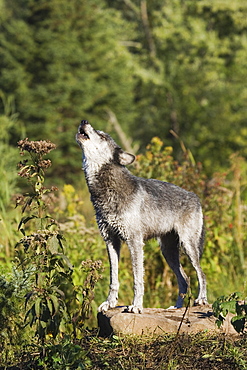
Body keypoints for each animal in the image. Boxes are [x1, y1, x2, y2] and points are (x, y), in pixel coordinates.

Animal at [76, 120, 207, 312]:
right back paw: (175, 308)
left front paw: (136, 306)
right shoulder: (111, 241)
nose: (84, 121)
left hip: (188, 247)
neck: (106, 191)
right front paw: (110, 303)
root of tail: (195, 196)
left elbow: (138, 280)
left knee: (200, 274)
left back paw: (201, 300)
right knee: (184, 280)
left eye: (102, 135)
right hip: (168, 252)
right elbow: (113, 279)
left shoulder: (135, 242)